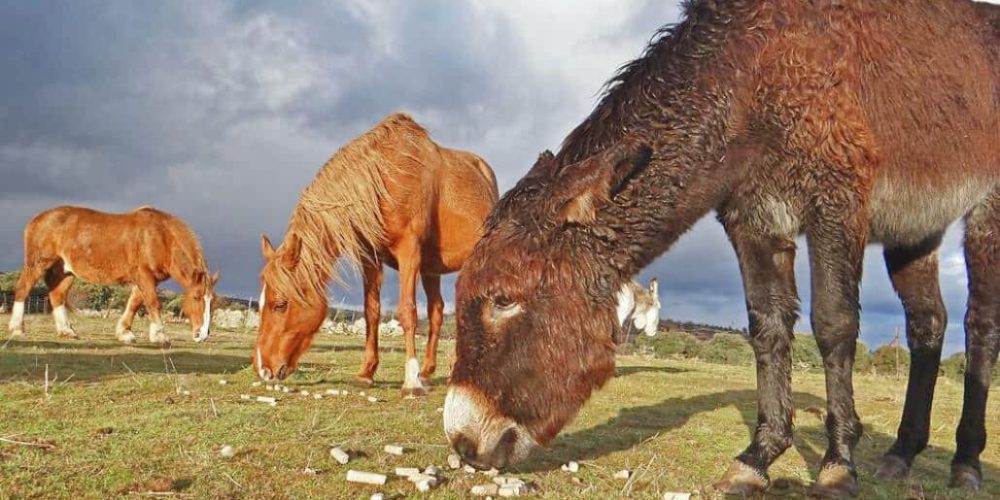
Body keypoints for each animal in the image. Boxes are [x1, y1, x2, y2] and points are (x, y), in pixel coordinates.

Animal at [6, 206, 219, 344]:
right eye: (196, 297)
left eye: (213, 302)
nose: (202, 334)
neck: (162, 237)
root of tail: (37, 219)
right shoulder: (144, 276)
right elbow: (153, 303)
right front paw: (160, 335)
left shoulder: (146, 280)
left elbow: (134, 304)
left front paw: (124, 333)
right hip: (38, 264)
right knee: (23, 289)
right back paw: (17, 328)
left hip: (65, 271)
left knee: (57, 296)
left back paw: (66, 331)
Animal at [252, 114, 498, 398]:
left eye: (280, 305)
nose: (263, 368)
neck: (387, 179)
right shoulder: (369, 256)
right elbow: (372, 312)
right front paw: (367, 373)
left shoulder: (409, 252)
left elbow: (407, 312)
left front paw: (411, 382)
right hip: (431, 269)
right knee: (437, 313)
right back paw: (427, 372)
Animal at [450, 0, 1000, 496]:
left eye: (503, 299)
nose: (462, 440)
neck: (747, 79)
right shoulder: (753, 219)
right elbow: (768, 327)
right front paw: (758, 457)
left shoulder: (837, 200)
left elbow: (833, 323)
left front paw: (838, 464)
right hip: (915, 228)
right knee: (928, 324)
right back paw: (902, 453)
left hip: (987, 213)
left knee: (980, 327)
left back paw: (966, 462)